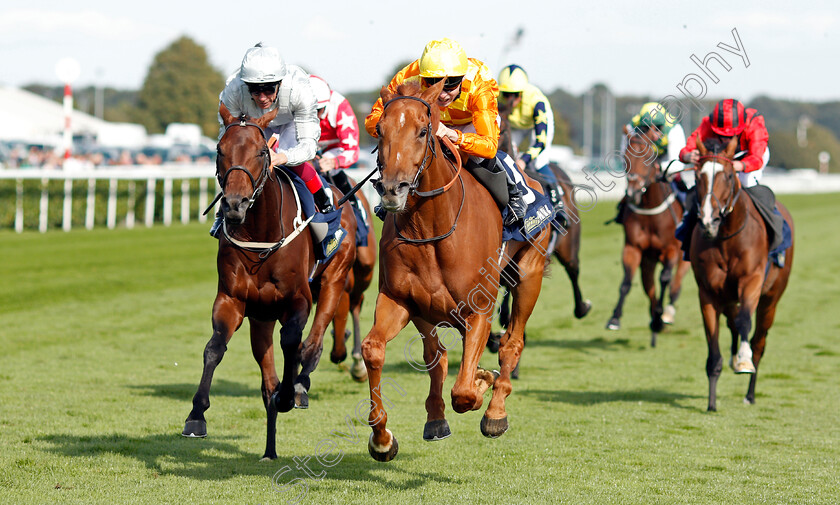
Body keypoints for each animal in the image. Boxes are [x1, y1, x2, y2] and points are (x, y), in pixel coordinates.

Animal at [182, 104, 356, 458]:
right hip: (261, 318)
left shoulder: (298, 300)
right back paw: (270, 450)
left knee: (314, 342)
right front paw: (196, 414)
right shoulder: (232, 300)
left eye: (262, 151)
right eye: (219, 149)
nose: (234, 205)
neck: (261, 237)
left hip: (334, 278)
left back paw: (300, 384)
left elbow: (292, 342)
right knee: (267, 383)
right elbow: (214, 348)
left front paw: (290, 394)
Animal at [362, 81, 552, 460]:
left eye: (423, 130)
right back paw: (436, 418)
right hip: (428, 311)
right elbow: (375, 349)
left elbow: (464, 392)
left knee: (512, 344)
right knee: (438, 356)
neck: (431, 227)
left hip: (529, 275)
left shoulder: (479, 309)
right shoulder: (400, 301)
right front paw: (382, 438)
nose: (392, 190)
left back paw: (495, 411)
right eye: (380, 131)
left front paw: (482, 382)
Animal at [608, 126, 692, 346]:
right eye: (626, 158)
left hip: (684, 257)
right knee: (649, 289)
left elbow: (665, 279)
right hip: (648, 262)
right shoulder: (633, 248)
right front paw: (615, 318)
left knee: (676, 284)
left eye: (647, 157)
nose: (632, 193)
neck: (650, 211)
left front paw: (661, 317)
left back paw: (666, 315)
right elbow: (626, 281)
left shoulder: (671, 249)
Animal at [688, 137, 796, 410]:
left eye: (728, 175)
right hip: (728, 297)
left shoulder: (752, 281)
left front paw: (744, 361)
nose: (708, 221)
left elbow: (745, 320)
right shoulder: (708, 291)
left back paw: (749, 392)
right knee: (733, 320)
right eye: (697, 176)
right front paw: (711, 402)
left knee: (758, 341)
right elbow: (714, 346)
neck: (726, 239)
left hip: (771, 299)